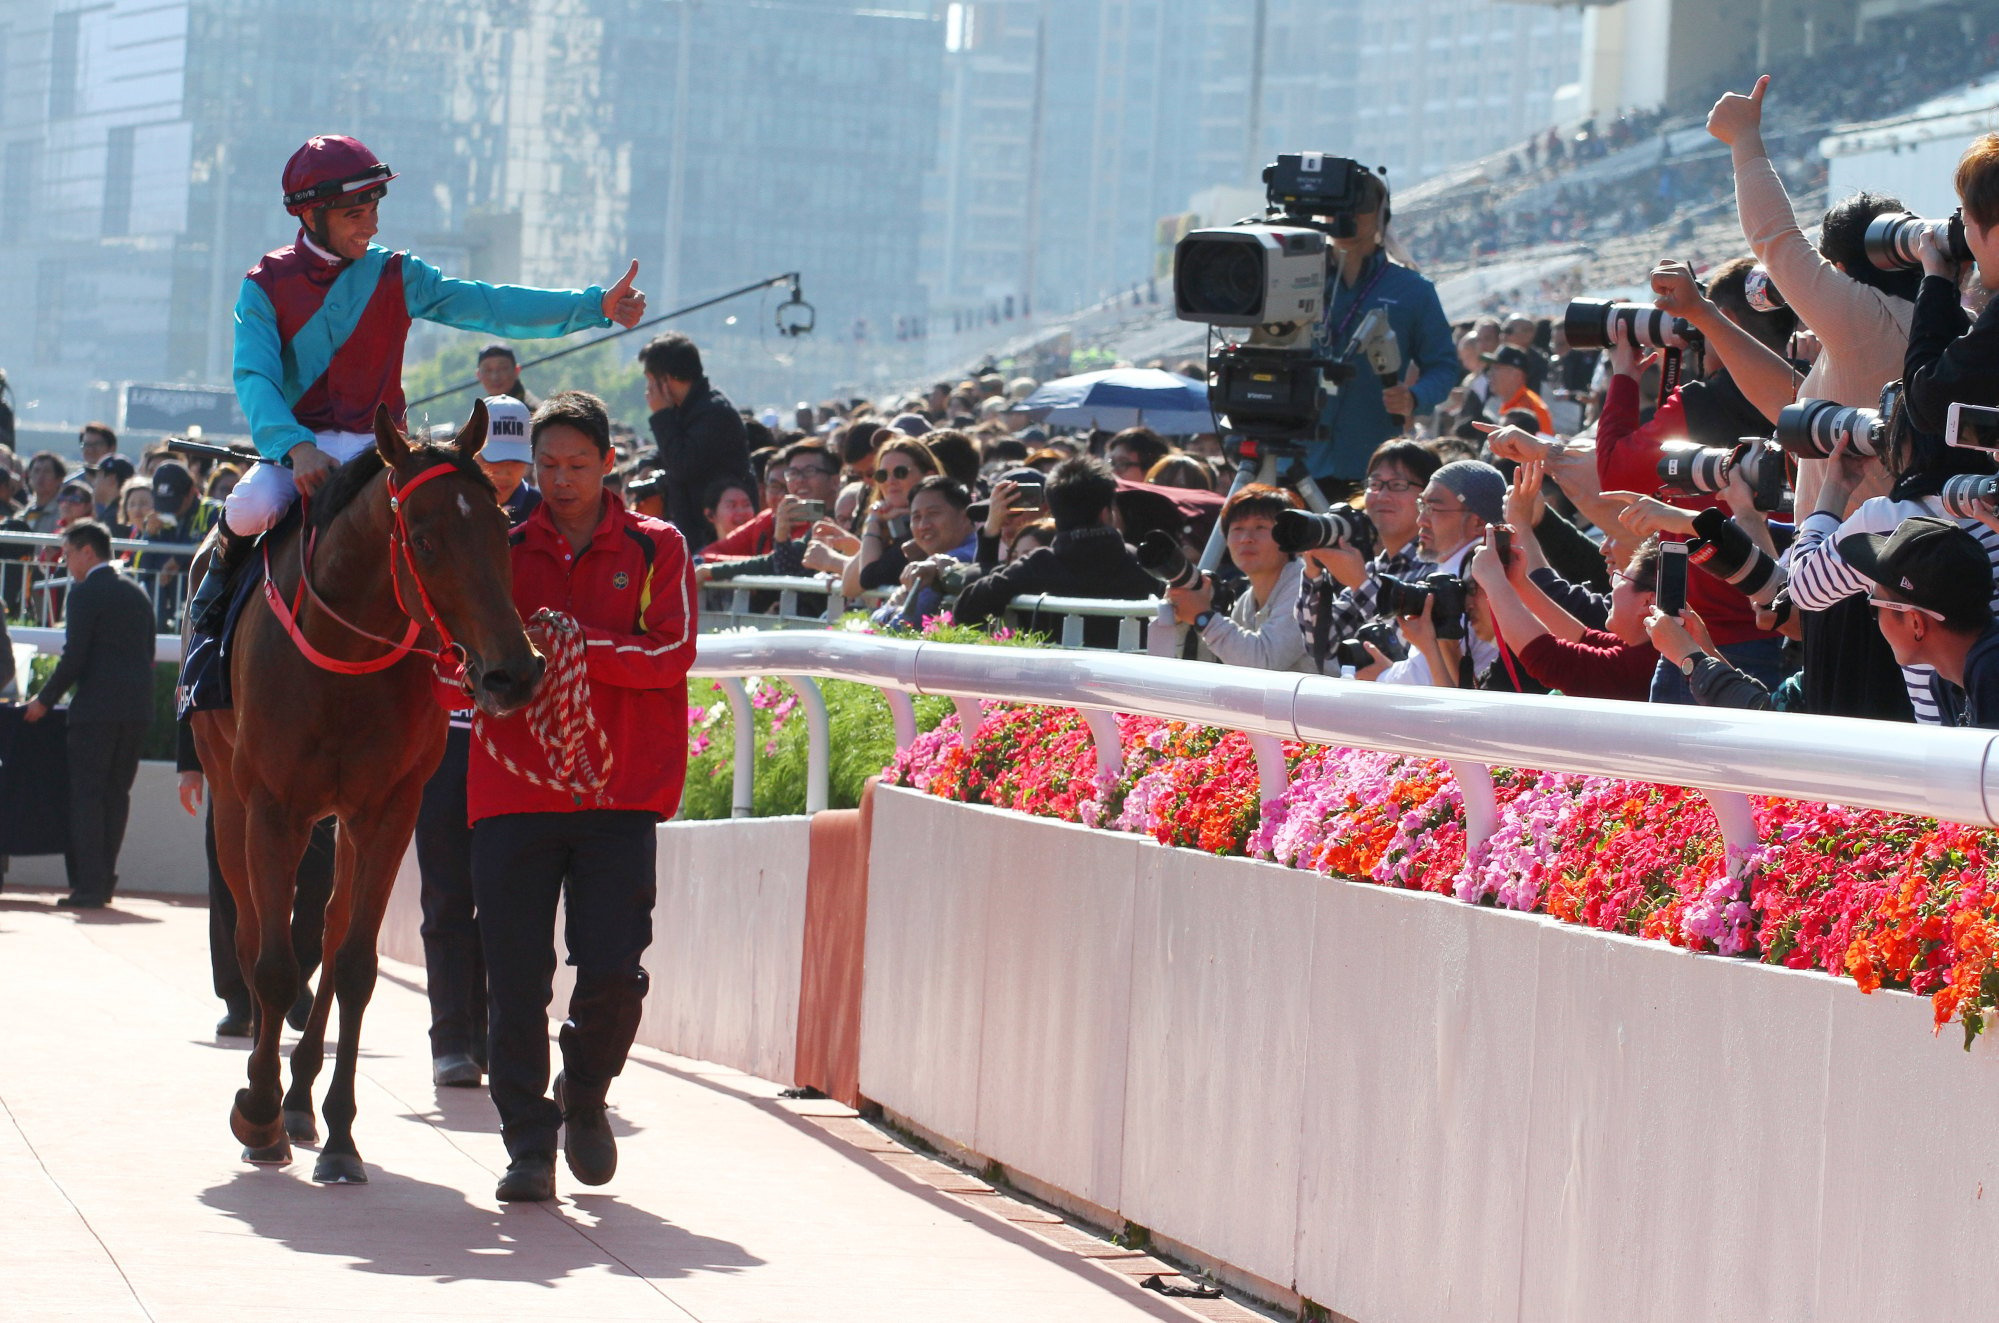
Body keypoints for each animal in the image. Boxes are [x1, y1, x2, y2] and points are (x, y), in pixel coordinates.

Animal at [193, 399, 543, 1183]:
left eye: (501, 530)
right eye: (425, 539)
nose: (514, 672)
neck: (345, 658)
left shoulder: (388, 810)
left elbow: (353, 964)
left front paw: (338, 1135)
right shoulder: (272, 808)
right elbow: (271, 961)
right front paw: (256, 1112)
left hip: (345, 820)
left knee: (326, 927)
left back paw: (299, 1102)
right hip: (229, 792)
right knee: (253, 928)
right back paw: (270, 1099)